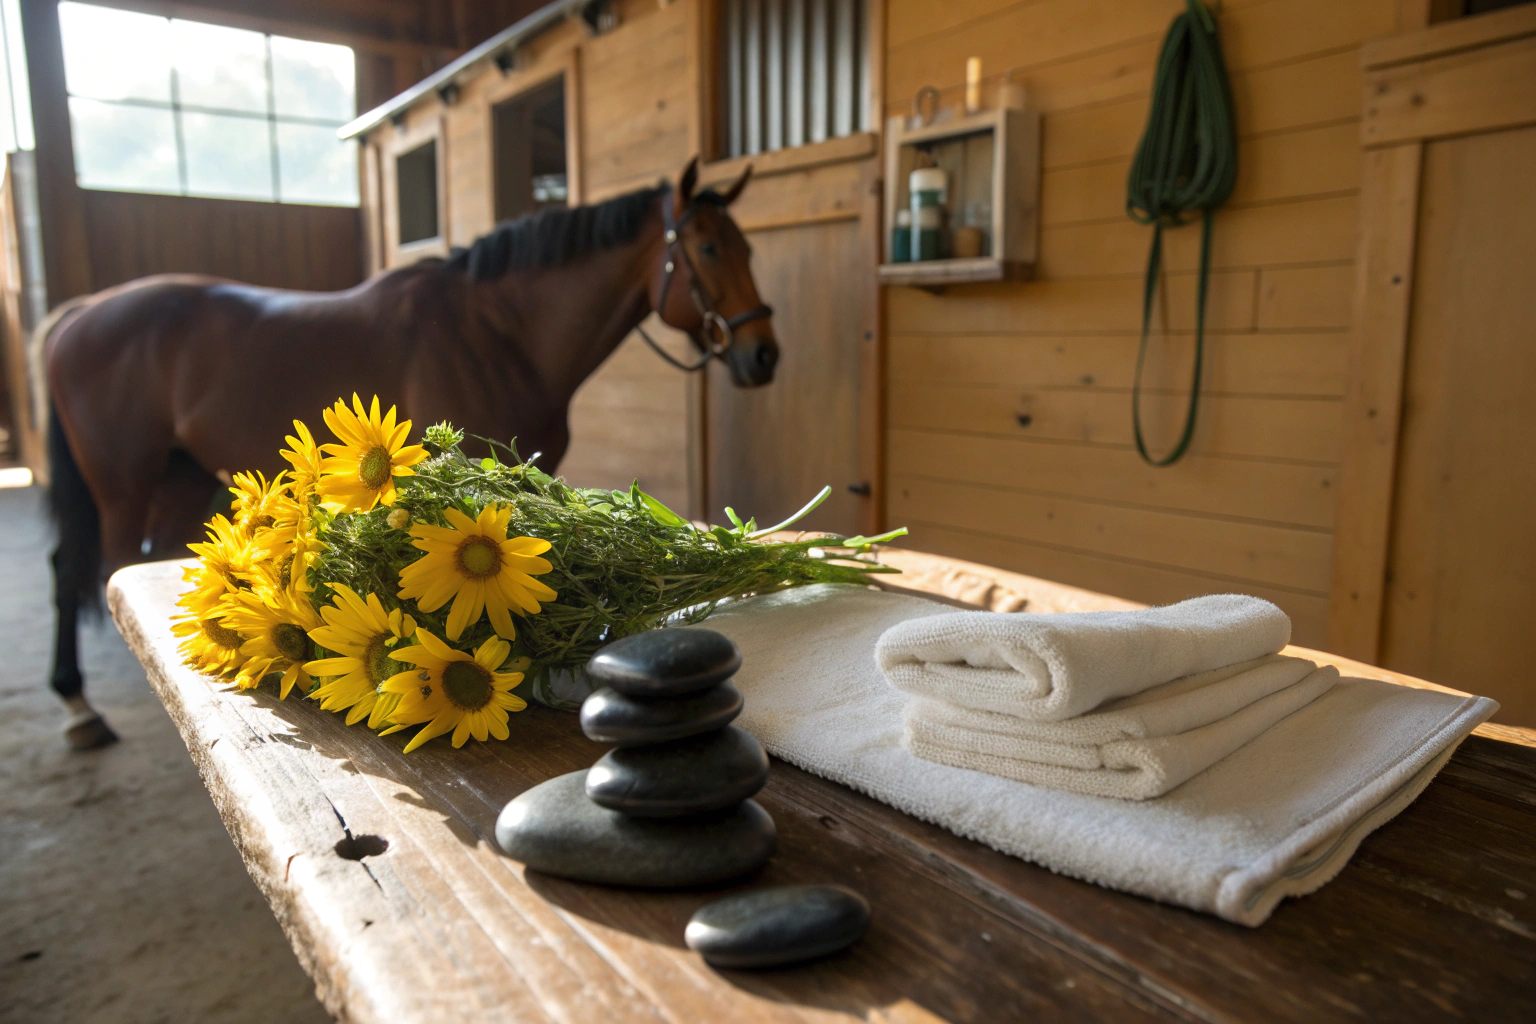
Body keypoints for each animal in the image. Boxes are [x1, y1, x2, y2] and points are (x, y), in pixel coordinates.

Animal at [39, 157, 777, 749]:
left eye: (747, 247)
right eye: (709, 247)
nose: (763, 354)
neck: (496, 333)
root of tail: (79, 312)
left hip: (182, 479)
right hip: (125, 485)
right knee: (92, 566)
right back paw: (85, 705)